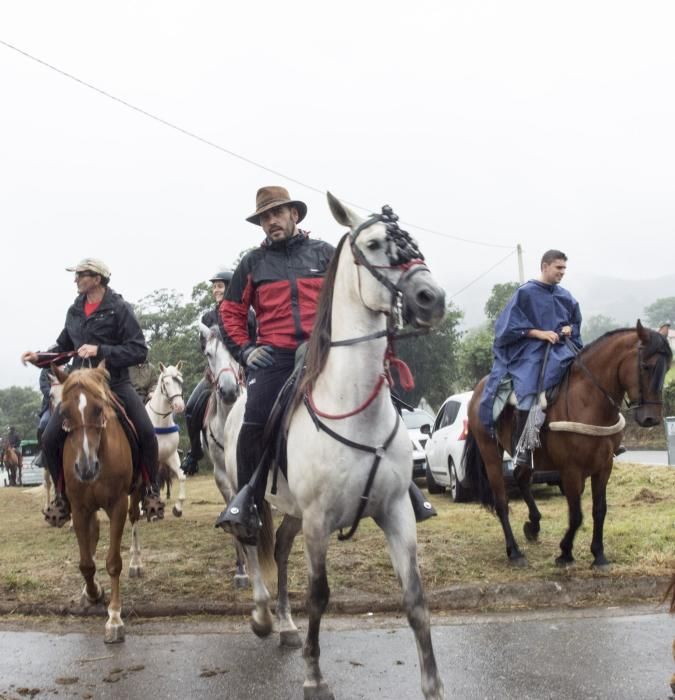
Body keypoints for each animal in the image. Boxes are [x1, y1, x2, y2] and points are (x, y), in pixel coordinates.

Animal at [52, 364, 145, 644]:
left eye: (98, 408)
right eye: (65, 412)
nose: (86, 468)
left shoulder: (117, 505)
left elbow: (113, 562)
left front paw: (114, 618)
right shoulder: (80, 508)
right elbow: (86, 563)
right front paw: (93, 593)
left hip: (135, 494)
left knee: (135, 518)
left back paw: (137, 563)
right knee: (93, 535)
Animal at [144, 364, 184, 516]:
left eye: (180, 381)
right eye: (166, 383)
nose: (179, 406)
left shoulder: (171, 455)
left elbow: (181, 476)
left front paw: (178, 508)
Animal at [219, 194, 448, 700]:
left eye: (413, 242)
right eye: (375, 244)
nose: (431, 299)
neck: (353, 405)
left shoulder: (395, 511)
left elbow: (415, 598)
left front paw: (432, 685)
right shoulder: (320, 520)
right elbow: (319, 595)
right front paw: (313, 675)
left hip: (293, 513)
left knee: (281, 550)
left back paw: (285, 625)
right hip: (253, 497)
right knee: (251, 545)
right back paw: (263, 616)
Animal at [468, 322, 672, 568]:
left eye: (667, 367)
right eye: (645, 366)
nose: (651, 419)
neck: (589, 400)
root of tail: (479, 389)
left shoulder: (604, 466)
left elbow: (599, 510)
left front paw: (599, 555)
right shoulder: (571, 469)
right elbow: (576, 515)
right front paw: (565, 552)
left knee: (521, 477)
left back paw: (533, 525)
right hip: (490, 451)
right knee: (501, 502)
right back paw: (515, 552)